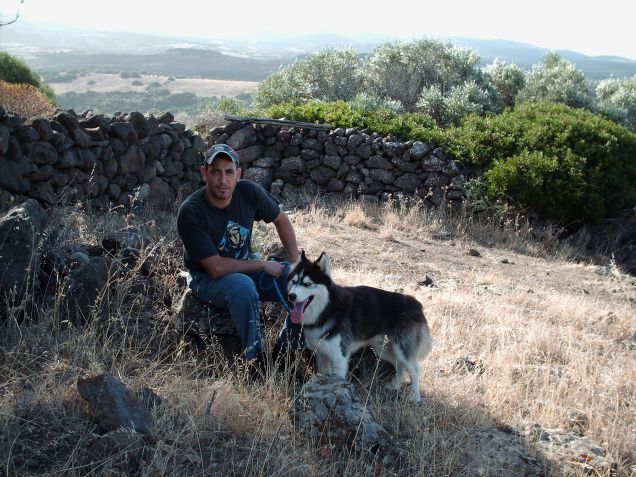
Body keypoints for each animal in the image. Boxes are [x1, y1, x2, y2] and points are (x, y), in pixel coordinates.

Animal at [288, 251, 432, 400]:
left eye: (307, 284)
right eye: (293, 282)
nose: (291, 296)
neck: (328, 309)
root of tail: (414, 302)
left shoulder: (339, 357)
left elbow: (338, 378)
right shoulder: (322, 354)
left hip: (402, 348)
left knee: (414, 369)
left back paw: (414, 396)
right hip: (383, 349)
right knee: (400, 366)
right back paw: (394, 386)